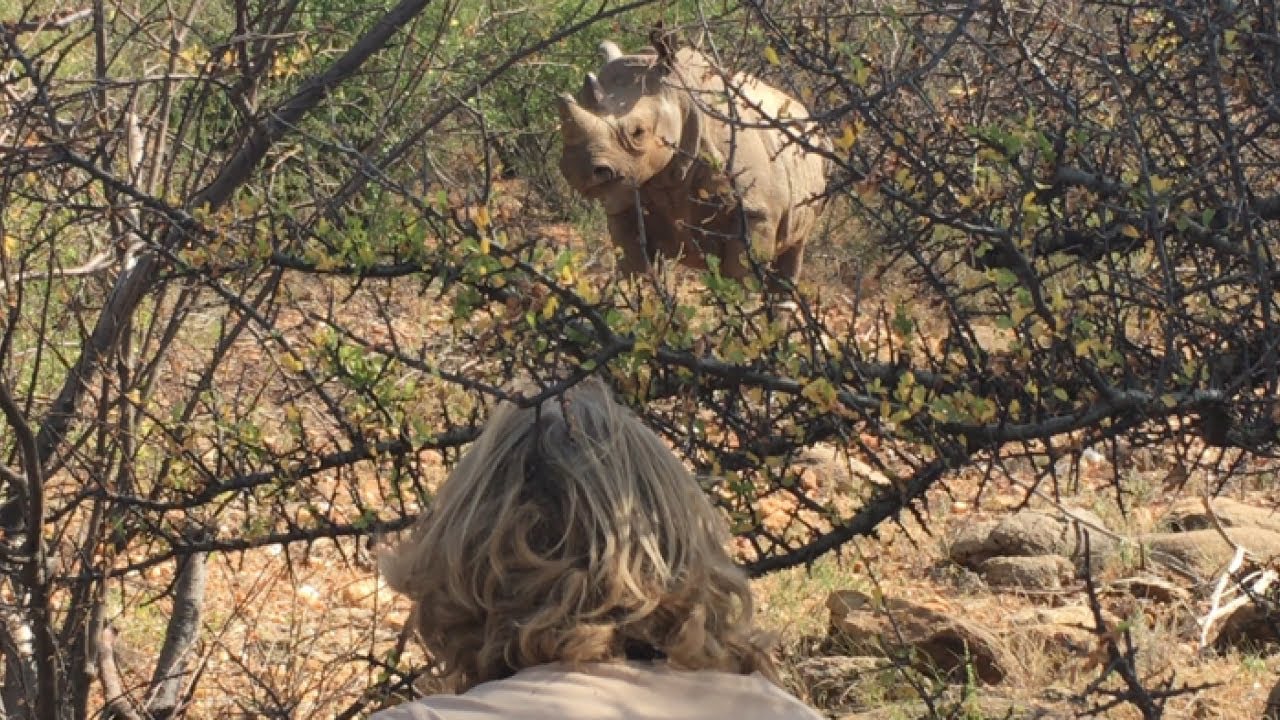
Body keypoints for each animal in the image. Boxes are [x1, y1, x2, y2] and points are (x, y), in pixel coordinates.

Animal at [556, 31, 829, 286]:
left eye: (638, 132)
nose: (579, 171)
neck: (679, 95)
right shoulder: (624, 200)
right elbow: (639, 274)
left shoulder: (756, 213)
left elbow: (742, 279)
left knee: (795, 247)